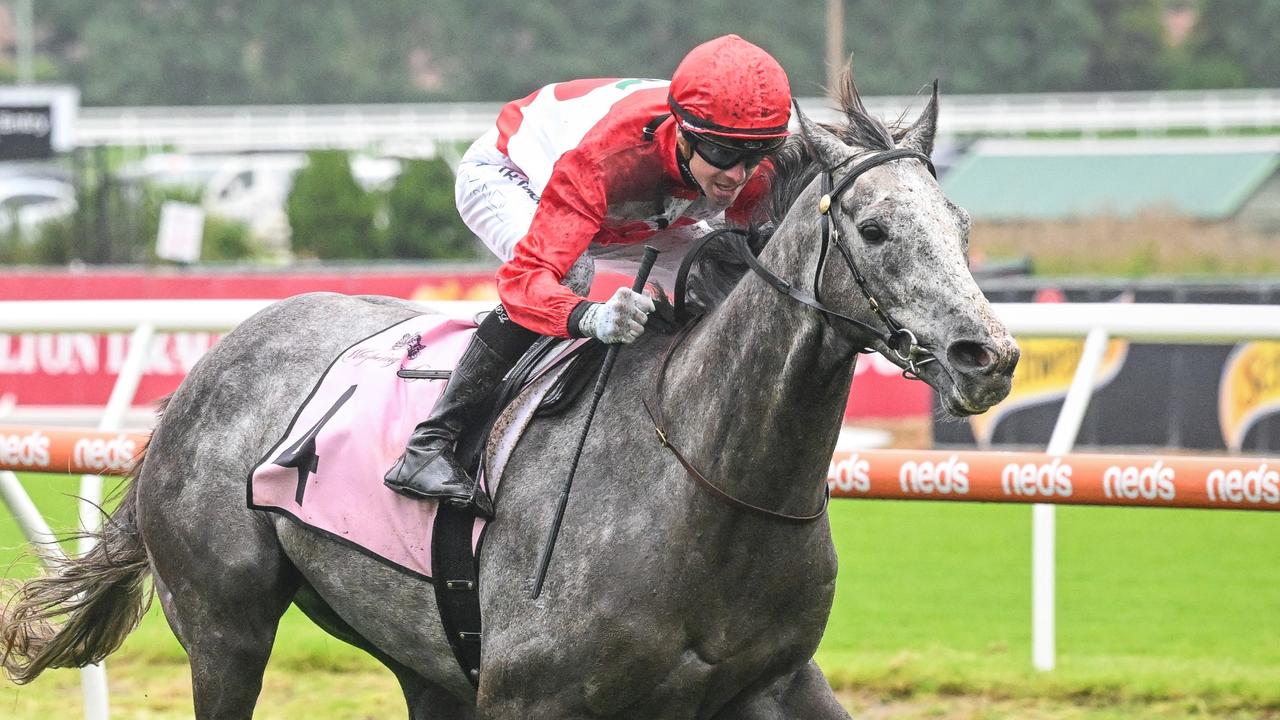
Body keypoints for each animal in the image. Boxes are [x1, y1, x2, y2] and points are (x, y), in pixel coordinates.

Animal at [2, 75, 1018, 712]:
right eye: (875, 228)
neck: (704, 479)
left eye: (962, 224)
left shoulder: (776, 683)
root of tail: (204, 372)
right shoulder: (531, 693)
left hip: (420, 656)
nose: (989, 356)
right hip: (225, 630)